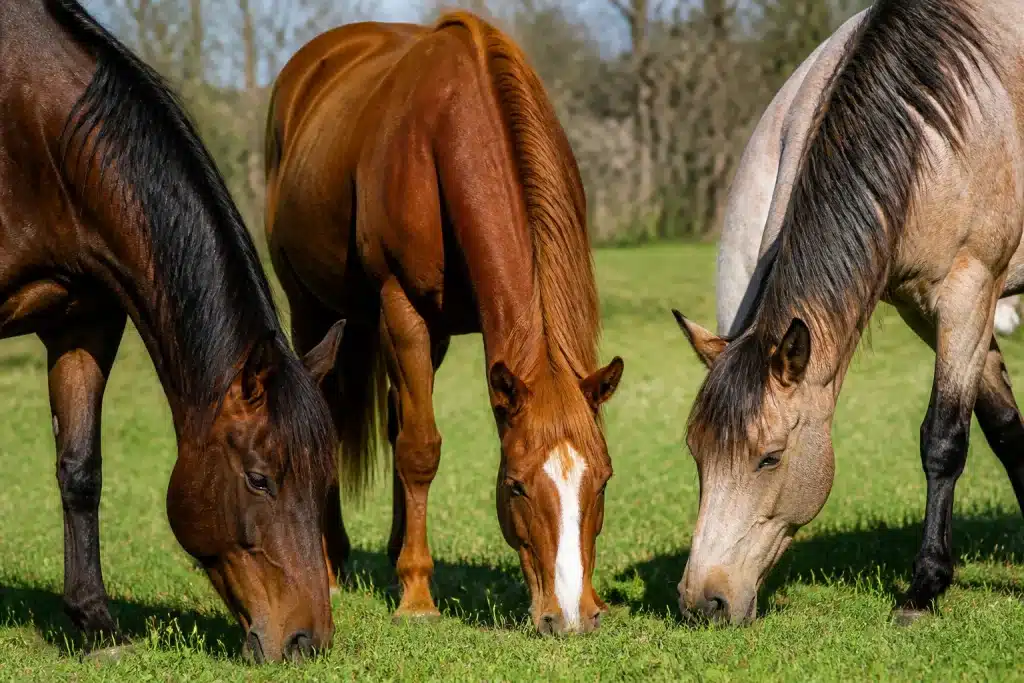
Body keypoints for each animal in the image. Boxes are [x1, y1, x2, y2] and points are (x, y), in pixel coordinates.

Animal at [4, 0, 342, 662]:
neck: (36, 131)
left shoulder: (85, 322)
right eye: (259, 479)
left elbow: (81, 470)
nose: (306, 642)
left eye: (324, 480)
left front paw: (95, 624)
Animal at [265, 12, 625, 635]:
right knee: (329, 412)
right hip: (314, 309)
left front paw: (405, 571)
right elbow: (420, 448)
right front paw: (416, 596)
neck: (451, 132)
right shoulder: (402, 308)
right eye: (515, 486)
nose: (571, 616)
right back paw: (331, 565)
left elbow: (408, 435)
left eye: (602, 481)